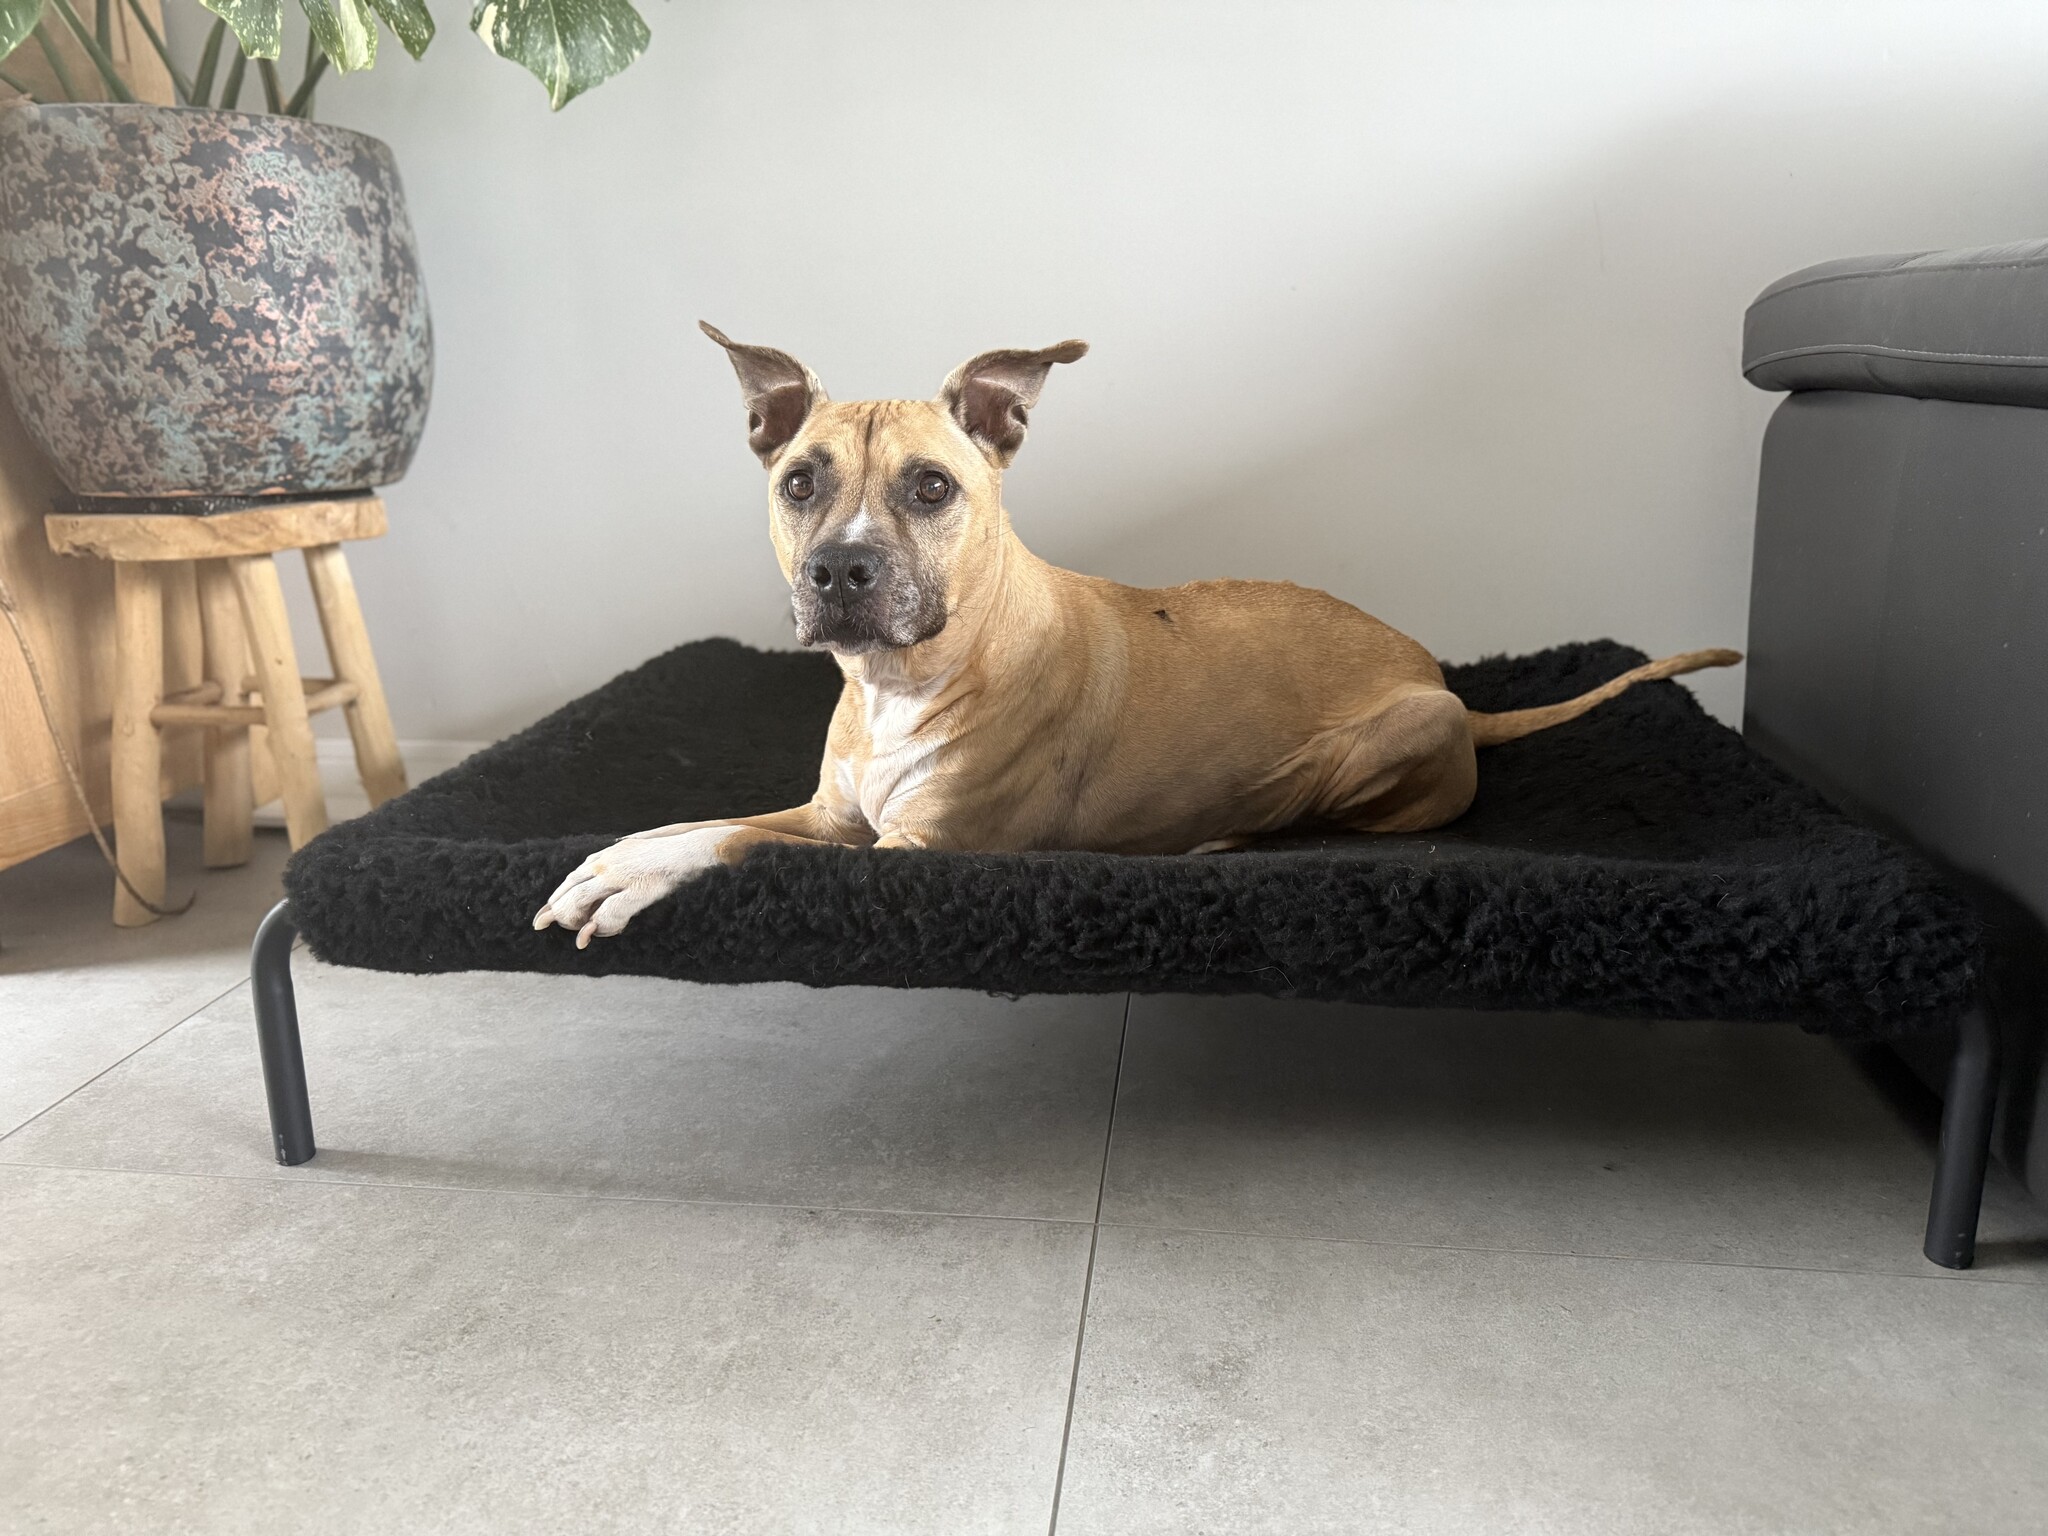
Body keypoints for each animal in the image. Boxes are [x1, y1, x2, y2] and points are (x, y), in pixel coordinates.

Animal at [534, 326, 1739, 947]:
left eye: (930, 486)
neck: (906, 679)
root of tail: (1454, 688)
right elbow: (713, 822)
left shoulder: (918, 852)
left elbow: (744, 848)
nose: (840, 571)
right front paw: (618, 853)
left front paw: (634, 879)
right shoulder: (836, 813)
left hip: (1367, 745)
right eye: (799, 483)